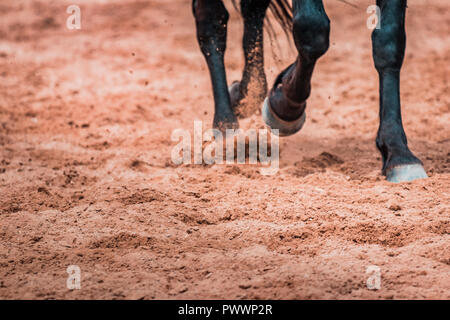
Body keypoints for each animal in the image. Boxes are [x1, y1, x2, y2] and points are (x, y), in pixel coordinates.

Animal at [192, 0, 428, 182]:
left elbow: (389, 42)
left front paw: (398, 153)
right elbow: (312, 30)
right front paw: (285, 106)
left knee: (251, 9)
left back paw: (247, 94)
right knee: (211, 21)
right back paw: (225, 128)